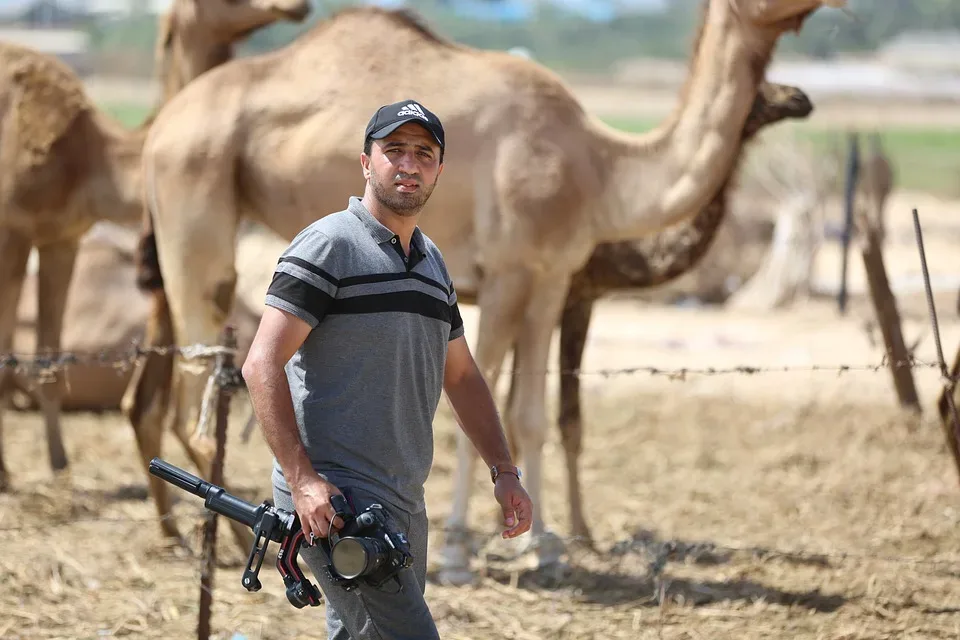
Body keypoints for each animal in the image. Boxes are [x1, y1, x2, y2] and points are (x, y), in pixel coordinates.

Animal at [0, 0, 310, 492]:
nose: (298, 7)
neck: (89, 157)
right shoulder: (13, 228)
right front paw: (7, 473)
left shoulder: (63, 236)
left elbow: (48, 353)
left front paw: (60, 466)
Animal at [122, 0, 848, 580]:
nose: (805, 97)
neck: (598, 166)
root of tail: (158, 128)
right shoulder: (504, 274)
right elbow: (480, 402)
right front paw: (456, 554)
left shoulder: (552, 276)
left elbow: (527, 413)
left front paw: (545, 547)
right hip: (195, 192)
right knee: (202, 372)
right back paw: (235, 537)